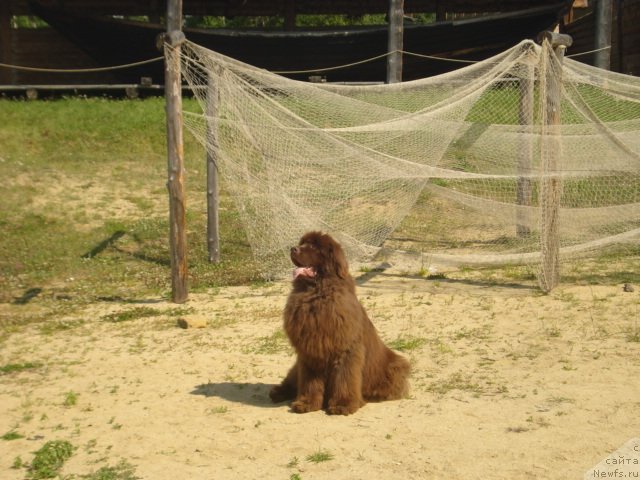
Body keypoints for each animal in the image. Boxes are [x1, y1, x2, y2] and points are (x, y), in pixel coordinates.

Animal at [268, 231, 410, 414]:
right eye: (302, 243)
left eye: (313, 246)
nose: (293, 248)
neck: (316, 296)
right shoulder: (309, 353)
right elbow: (309, 381)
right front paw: (306, 403)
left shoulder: (345, 350)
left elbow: (344, 378)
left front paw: (343, 404)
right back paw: (278, 392)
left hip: (395, 367)